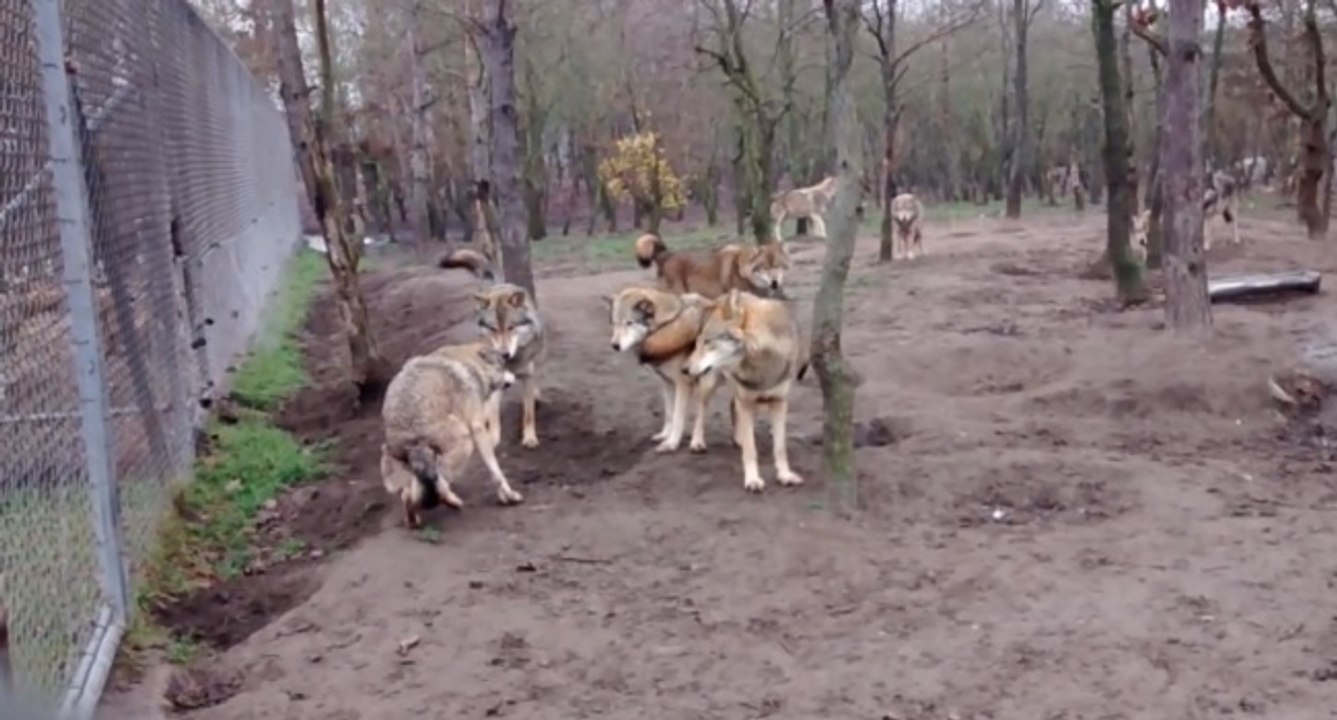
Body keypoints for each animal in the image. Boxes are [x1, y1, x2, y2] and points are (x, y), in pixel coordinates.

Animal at [380, 341, 523, 529]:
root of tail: (410, 437)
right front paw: (510, 496)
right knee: (424, 491)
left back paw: (414, 521)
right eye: (504, 366)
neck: (470, 365)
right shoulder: (477, 428)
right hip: (464, 442)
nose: (514, 377)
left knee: (408, 494)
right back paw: (453, 502)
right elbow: (496, 471)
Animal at [604, 286, 722, 453]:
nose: (614, 346)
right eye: (614, 323)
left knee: (700, 414)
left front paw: (671, 443)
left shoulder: (683, 384)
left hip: (706, 383)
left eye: (629, 323)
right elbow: (669, 413)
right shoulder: (667, 382)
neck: (664, 326)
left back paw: (697, 442)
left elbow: (678, 417)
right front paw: (664, 435)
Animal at [685, 289, 809, 493]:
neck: (762, 363)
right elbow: (751, 450)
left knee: (731, 407)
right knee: (700, 412)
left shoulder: (778, 402)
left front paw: (785, 475)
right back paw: (697, 442)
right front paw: (752, 479)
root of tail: (717, 297)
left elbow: (780, 447)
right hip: (710, 386)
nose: (684, 369)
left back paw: (738, 438)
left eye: (708, 342)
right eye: (699, 343)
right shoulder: (746, 401)